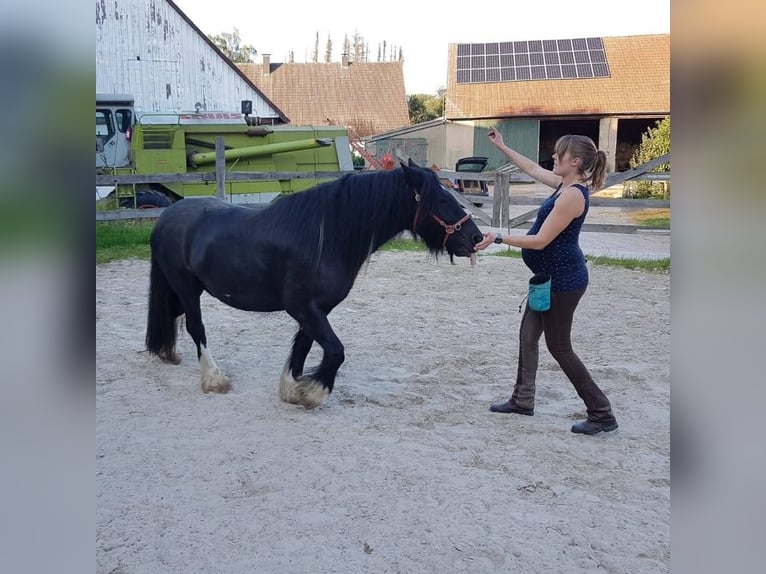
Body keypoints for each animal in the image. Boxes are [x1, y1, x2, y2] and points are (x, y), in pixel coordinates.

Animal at [145, 160, 483, 408]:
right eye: (442, 200)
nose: (476, 238)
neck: (326, 236)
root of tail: (167, 216)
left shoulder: (317, 309)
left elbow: (304, 346)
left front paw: (291, 389)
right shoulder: (303, 307)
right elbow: (335, 351)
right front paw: (312, 392)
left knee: (172, 314)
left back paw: (168, 353)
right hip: (188, 288)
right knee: (196, 327)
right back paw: (214, 379)